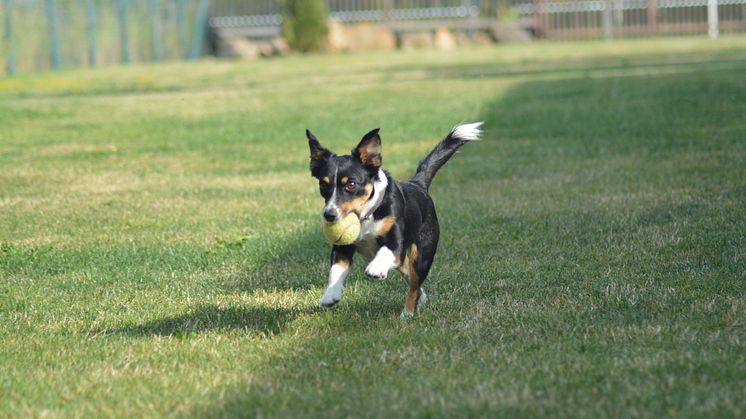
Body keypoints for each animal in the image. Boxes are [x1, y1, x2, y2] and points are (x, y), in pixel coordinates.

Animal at [304, 123, 482, 316]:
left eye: (351, 184)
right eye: (323, 185)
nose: (329, 215)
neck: (367, 215)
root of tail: (418, 184)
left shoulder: (396, 240)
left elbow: (385, 251)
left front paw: (376, 268)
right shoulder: (343, 246)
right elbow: (336, 270)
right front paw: (331, 295)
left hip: (423, 255)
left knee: (414, 282)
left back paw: (408, 312)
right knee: (410, 276)